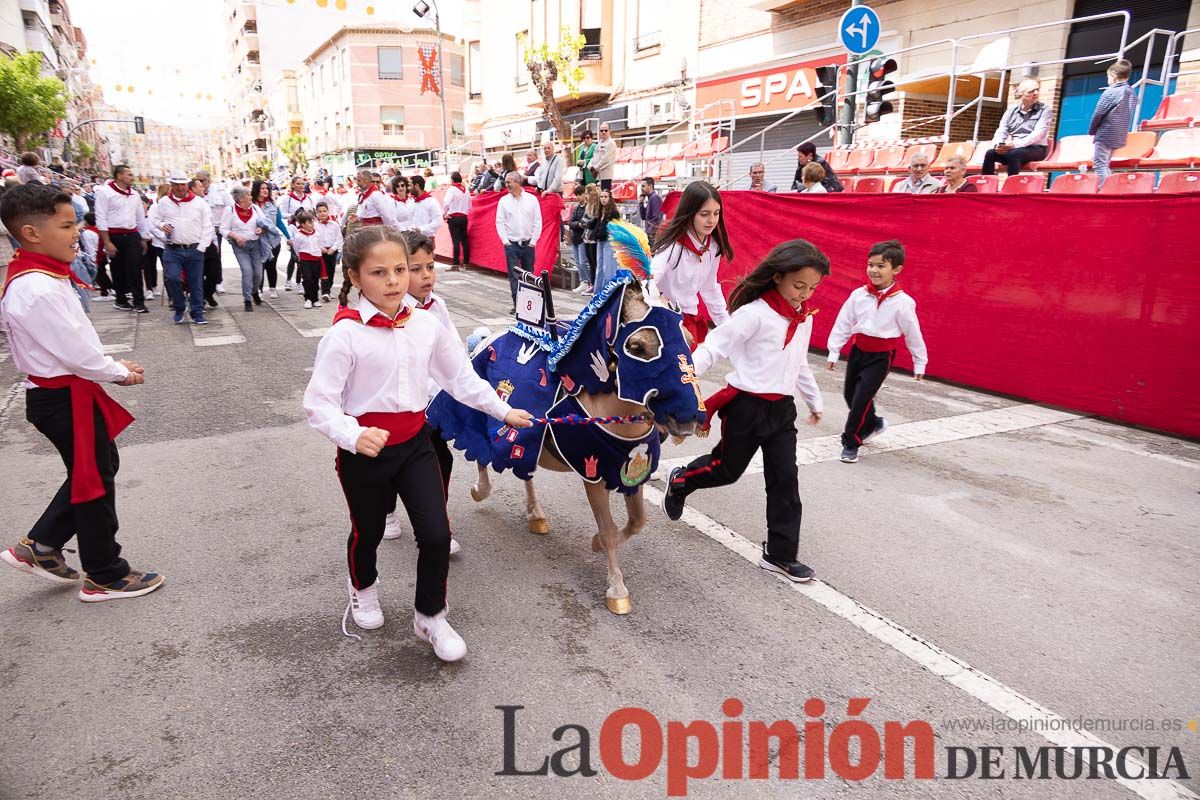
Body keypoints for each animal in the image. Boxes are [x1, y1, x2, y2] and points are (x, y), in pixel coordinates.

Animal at [427, 221, 700, 618]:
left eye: (690, 340)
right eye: (637, 348)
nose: (687, 417)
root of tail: (489, 337)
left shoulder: (629, 469)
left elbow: (635, 522)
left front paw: (597, 545)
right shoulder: (594, 473)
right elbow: (610, 528)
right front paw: (616, 587)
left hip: (527, 439)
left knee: (524, 470)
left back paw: (536, 514)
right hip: (481, 413)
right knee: (481, 452)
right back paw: (482, 489)